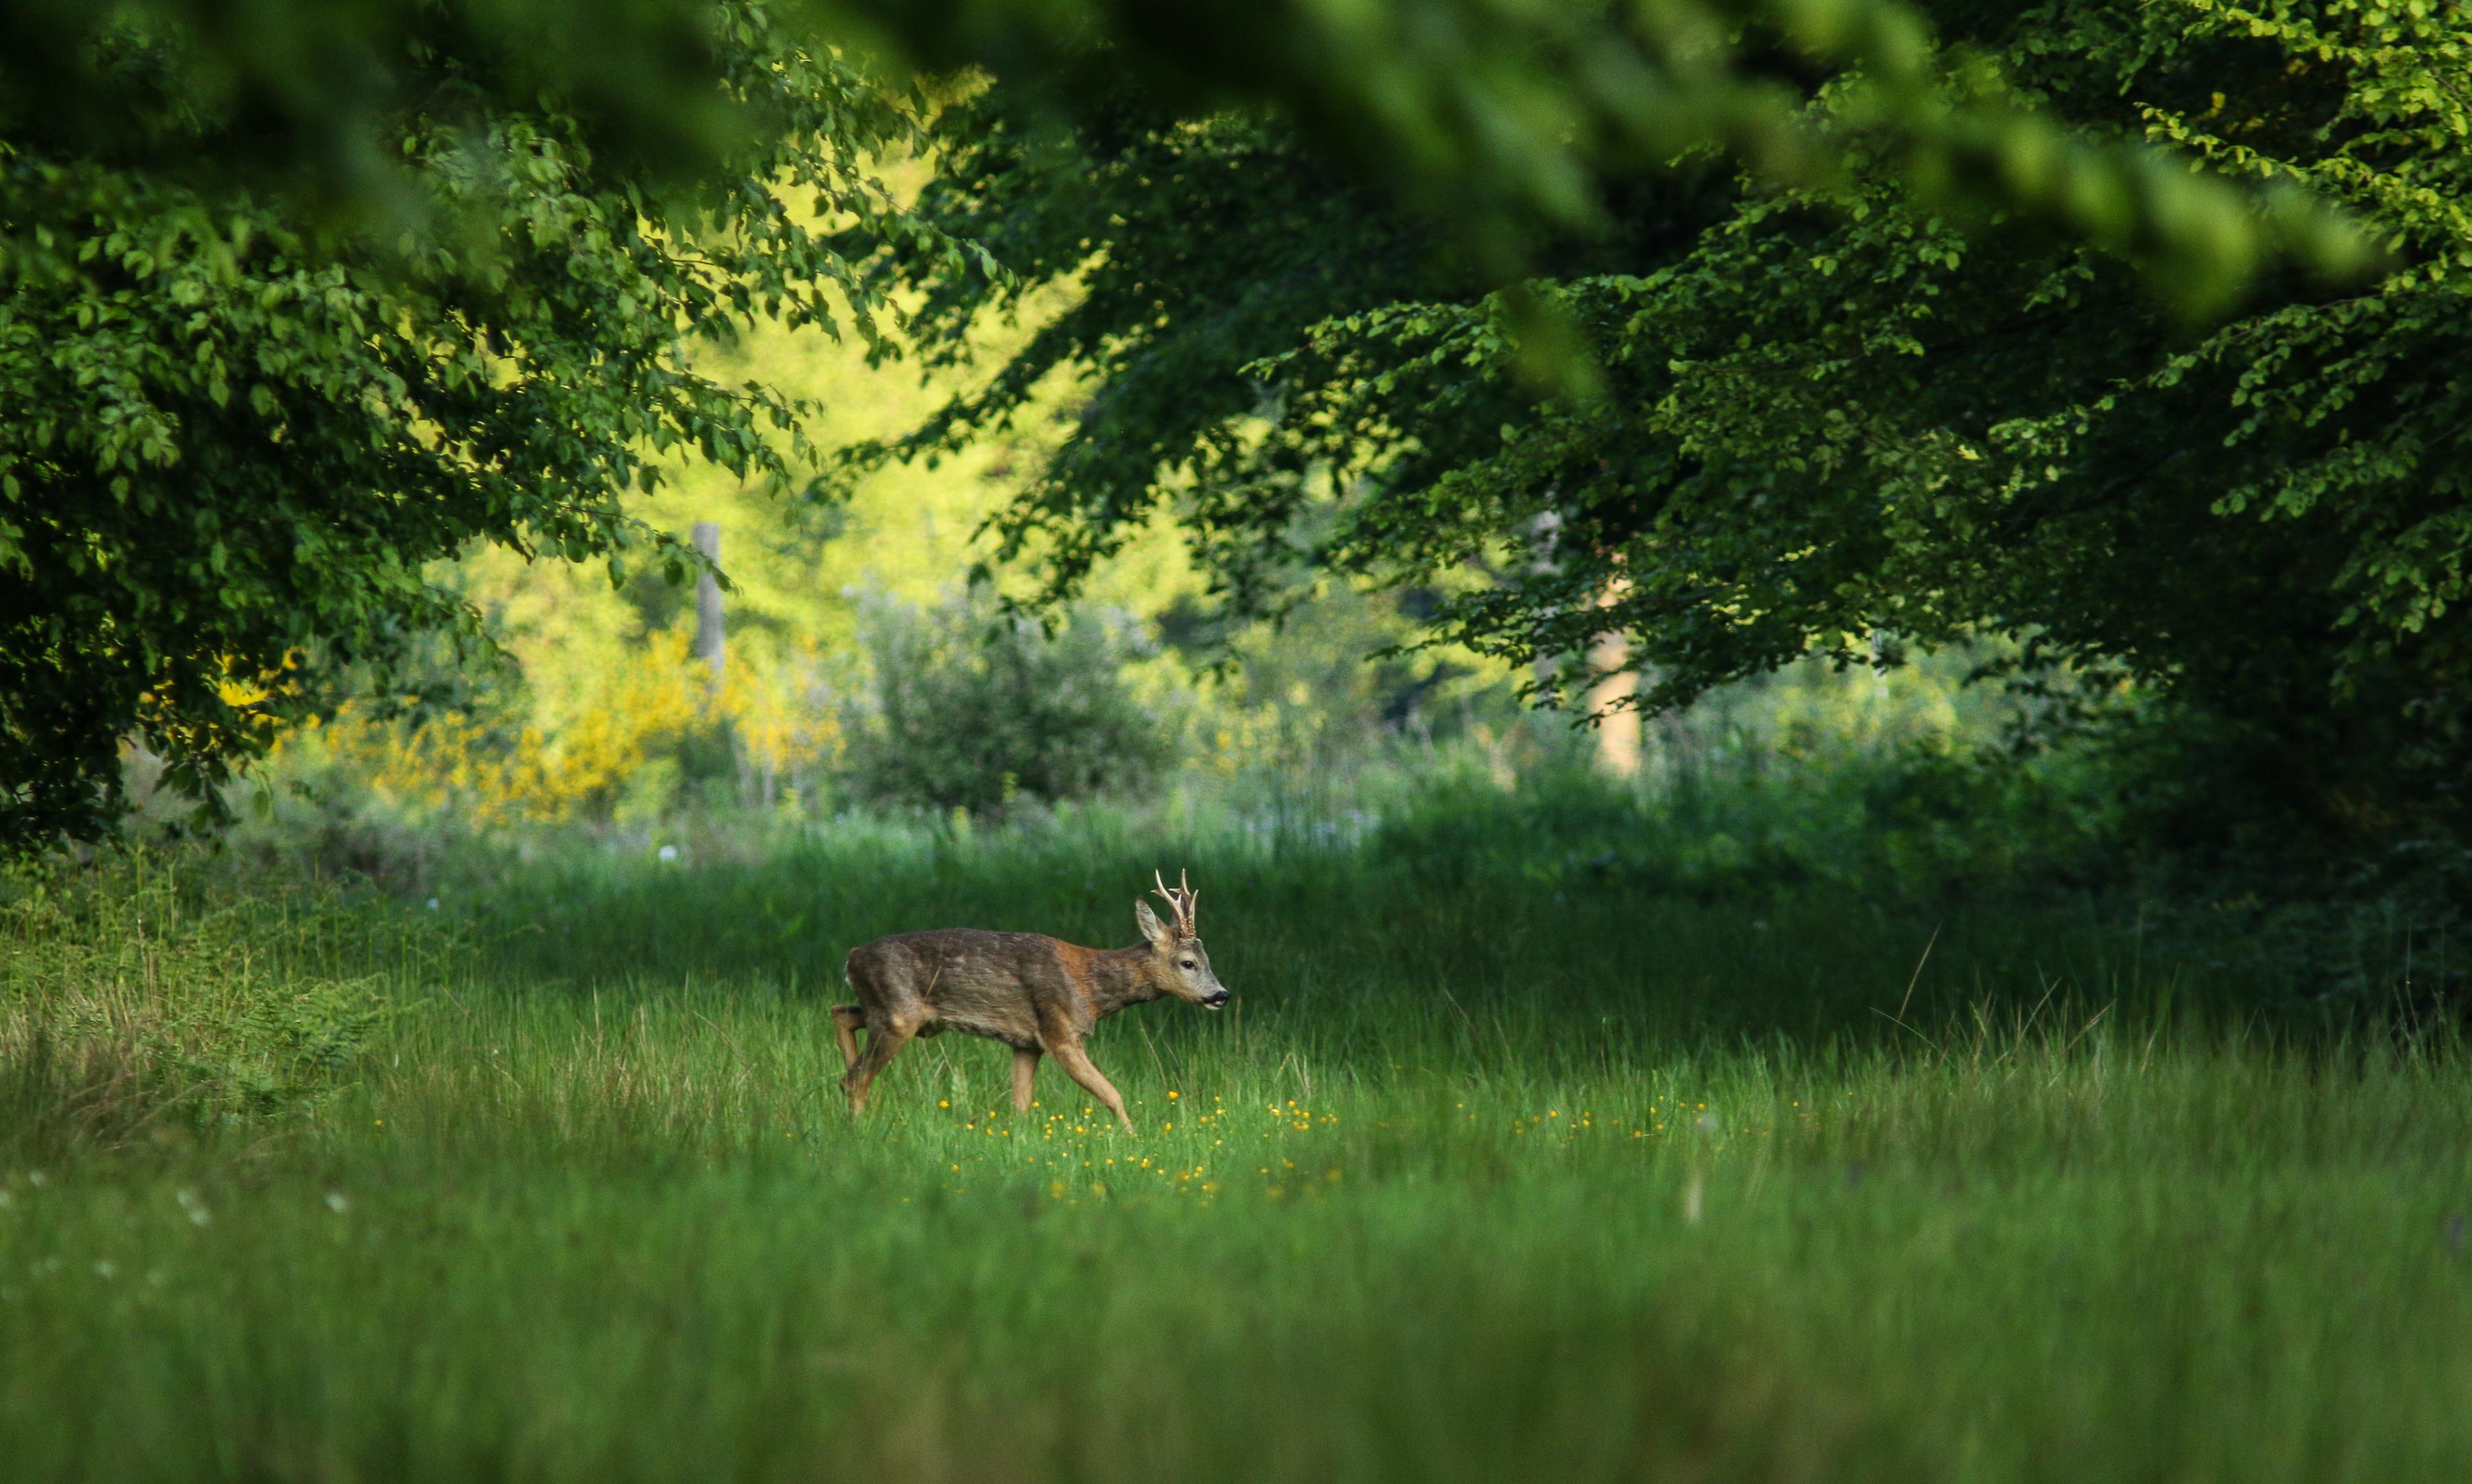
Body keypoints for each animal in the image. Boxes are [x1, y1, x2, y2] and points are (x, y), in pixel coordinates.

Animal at [835, 875, 1231, 1132]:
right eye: (1188, 963)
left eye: (1208, 958)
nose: (1221, 995)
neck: (1091, 990)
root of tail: (851, 959)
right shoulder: (1060, 1032)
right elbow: (1112, 1094)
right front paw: (1132, 1139)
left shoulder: (1027, 1043)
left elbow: (1021, 1105)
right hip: (899, 1015)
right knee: (856, 1078)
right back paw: (858, 1130)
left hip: (892, 1013)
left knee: (842, 1018)